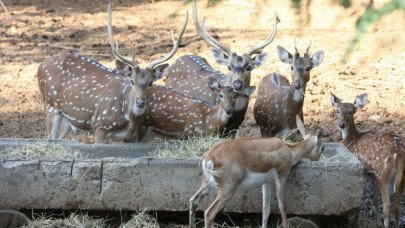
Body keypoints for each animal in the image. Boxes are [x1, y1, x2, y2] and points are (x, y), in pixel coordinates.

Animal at [35, 3, 187, 142]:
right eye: (132, 81)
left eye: (151, 82)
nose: (140, 102)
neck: (129, 121)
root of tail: (41, 65)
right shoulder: (100, 126)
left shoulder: (132, 136)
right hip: (50, 104)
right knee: (49, 137)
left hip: (66, 118)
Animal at [188, 116, 324, 228]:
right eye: (322, 148)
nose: (318, 160)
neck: (288, 151)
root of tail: (208, 157)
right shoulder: (281, 177)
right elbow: (282, 206)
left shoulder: (266, 182)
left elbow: (265, 209)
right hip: (227, 190)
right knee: (209, 213)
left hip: (207, 183)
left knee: (193, 201)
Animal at [330, 91, 402, 227]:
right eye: (337, 110)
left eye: (351, 111)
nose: (341, 124)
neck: (353, 140)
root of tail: (399, 150)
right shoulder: (372, 175)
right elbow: (375, 198)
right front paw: (378, 223)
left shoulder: (362, 171)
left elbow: (360, 198)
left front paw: (355, 222)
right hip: (400, 177)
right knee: (397, 207)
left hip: (382, 173)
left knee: (388, 205)